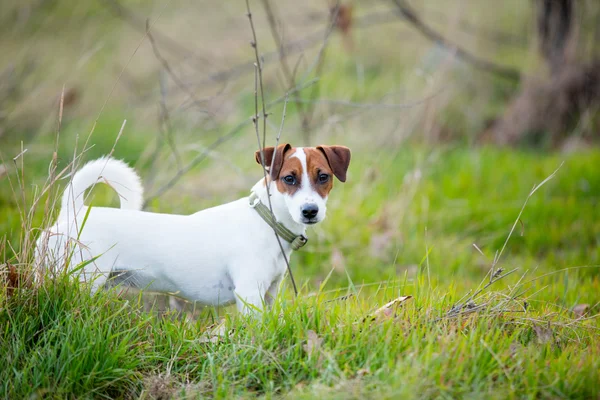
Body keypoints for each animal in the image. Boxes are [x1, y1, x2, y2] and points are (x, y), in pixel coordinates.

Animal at [35, 145, 350, 314]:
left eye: (323, 177)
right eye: (288, 178)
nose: (310, 211)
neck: (265, 221)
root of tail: (73, 213)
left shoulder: (269, 293)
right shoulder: (249, 294)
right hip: (77, 279)